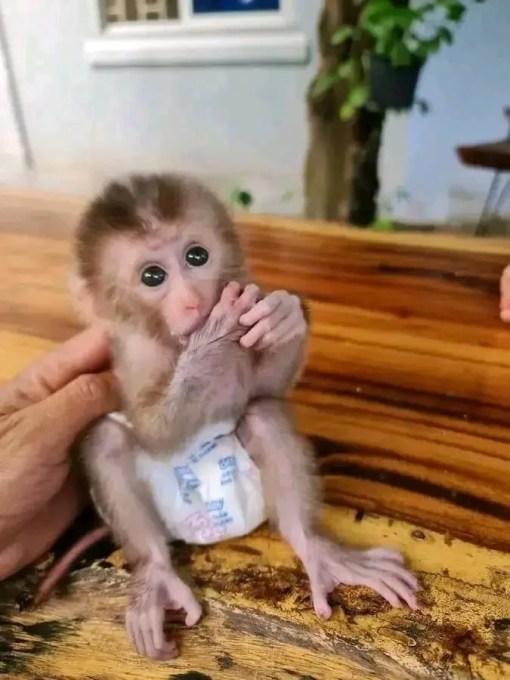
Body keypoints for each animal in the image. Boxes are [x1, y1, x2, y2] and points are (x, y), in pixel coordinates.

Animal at [35, 173, 420, 661]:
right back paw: (156, 575)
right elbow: (154, 432)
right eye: (152, 277)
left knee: (264, 415)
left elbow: (263, 390)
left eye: (196, 256)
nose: (192, 300)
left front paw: (285, 314)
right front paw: (211, 339)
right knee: (107, 440)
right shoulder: (135, 355)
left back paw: (314, 547)